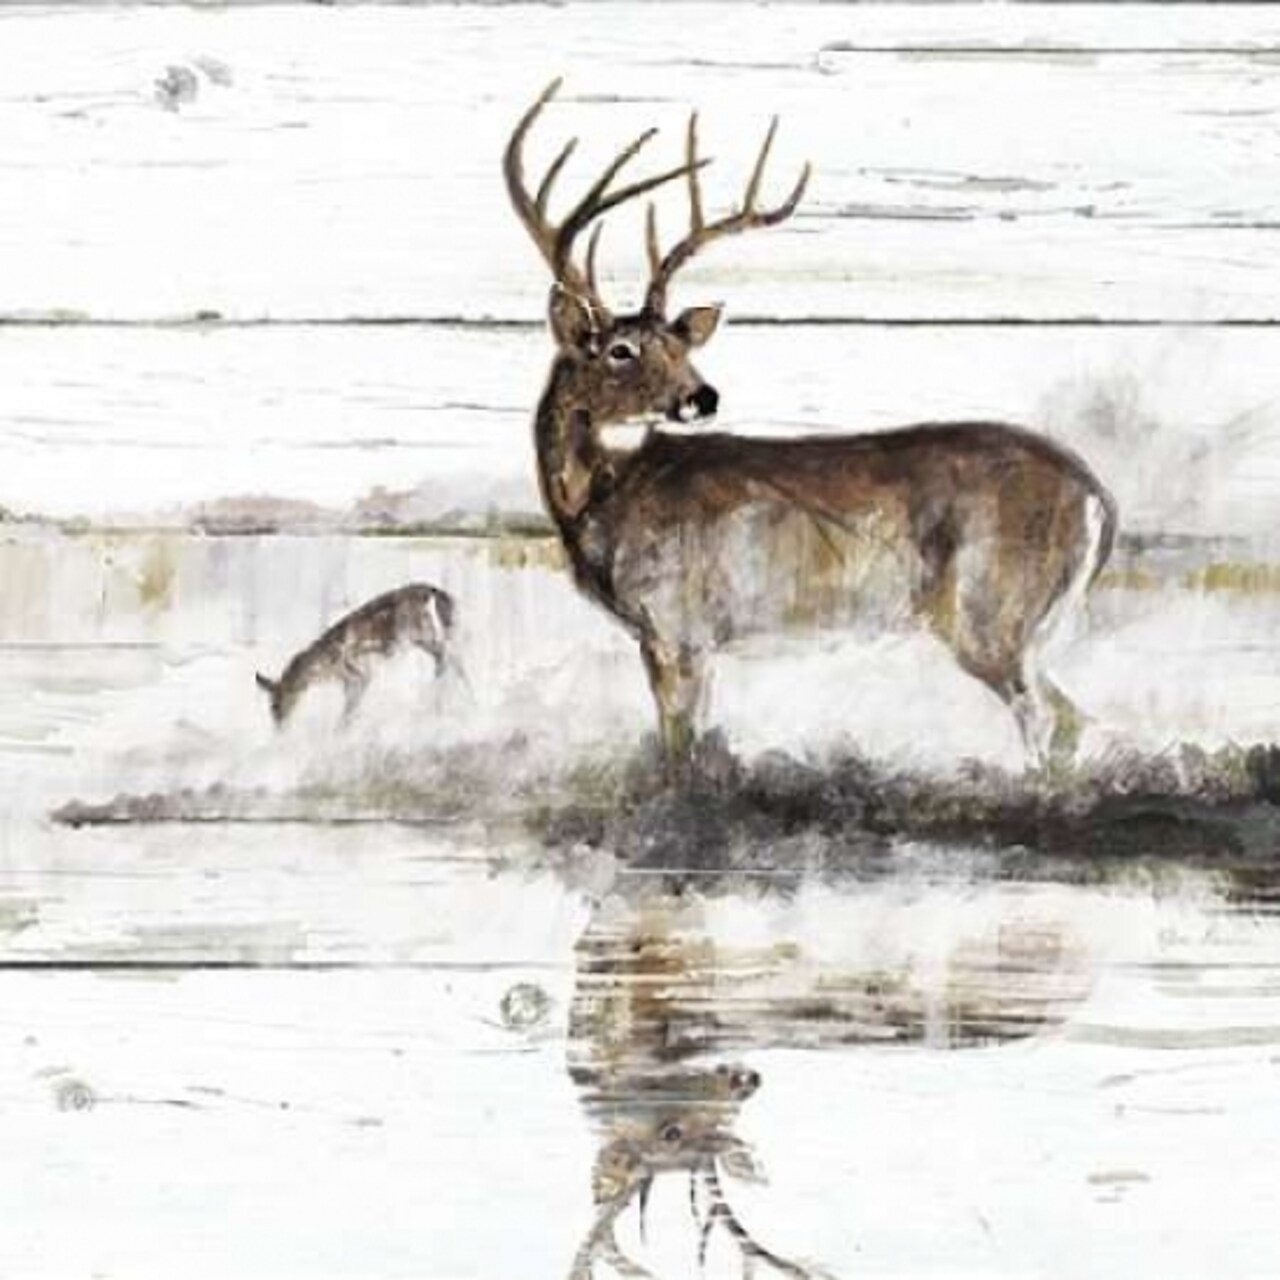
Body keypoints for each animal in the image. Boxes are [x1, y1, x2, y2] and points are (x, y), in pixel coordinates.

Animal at [255, 582, 455, 726]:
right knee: (450, 654)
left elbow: (349, 711)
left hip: (419, 632)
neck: (324, 667)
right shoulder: (348, 680)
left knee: (446, 654)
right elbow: (350, 708)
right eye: (270, 707)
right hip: (422, 635)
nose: (278, 726)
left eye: (276, 705)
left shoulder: (361, 673)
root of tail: (428, 590)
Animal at [505, 81, 1119, 773]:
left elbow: (678, 748)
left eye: (677, 344)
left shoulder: (674, 626)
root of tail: (1097, 499)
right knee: (1066, 719)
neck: (605, 501)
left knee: (1052, 717)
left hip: (990, 611)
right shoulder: (692, 641)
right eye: (621, 350)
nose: (702, 395)